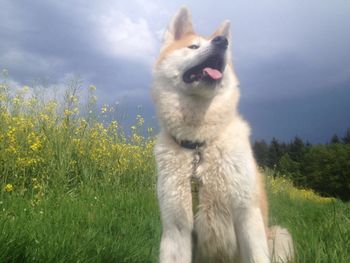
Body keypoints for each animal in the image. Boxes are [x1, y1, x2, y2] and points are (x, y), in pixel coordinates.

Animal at [152, 7, 294, 262]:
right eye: (193, 47)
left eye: (220, 43)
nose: (221, 42)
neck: (199, 145)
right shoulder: (177, 228)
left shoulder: (247, 217)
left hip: (279, 235)